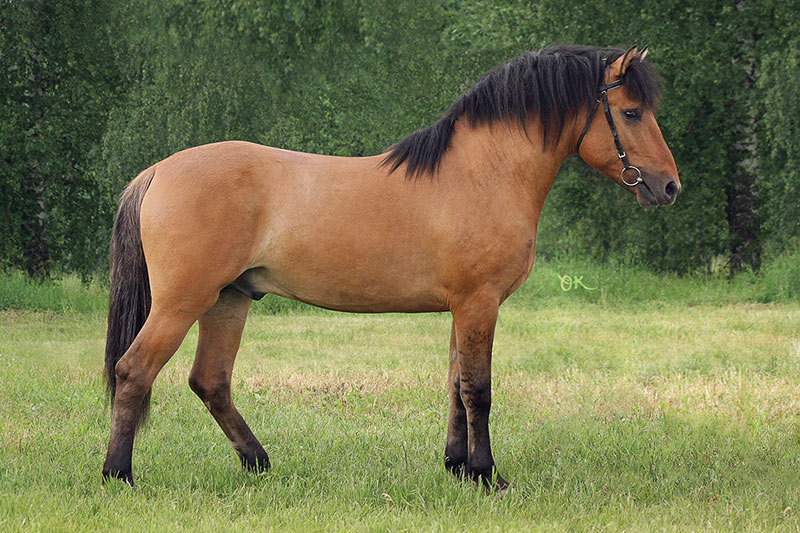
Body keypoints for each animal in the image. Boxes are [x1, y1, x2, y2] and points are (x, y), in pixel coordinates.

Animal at [101, 44, 680, 490]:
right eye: (631, 112)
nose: (670, 186)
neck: (482, 174)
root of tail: (159, 171)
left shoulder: (463, 308)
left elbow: (454, 384)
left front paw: (457, 468)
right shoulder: (479, 303)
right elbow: (478, 390)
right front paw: (488, 476)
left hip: (229, 300)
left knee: (210, 382)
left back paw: (259, 464)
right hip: (183, 301)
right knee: (134, 372)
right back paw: (119, 475)